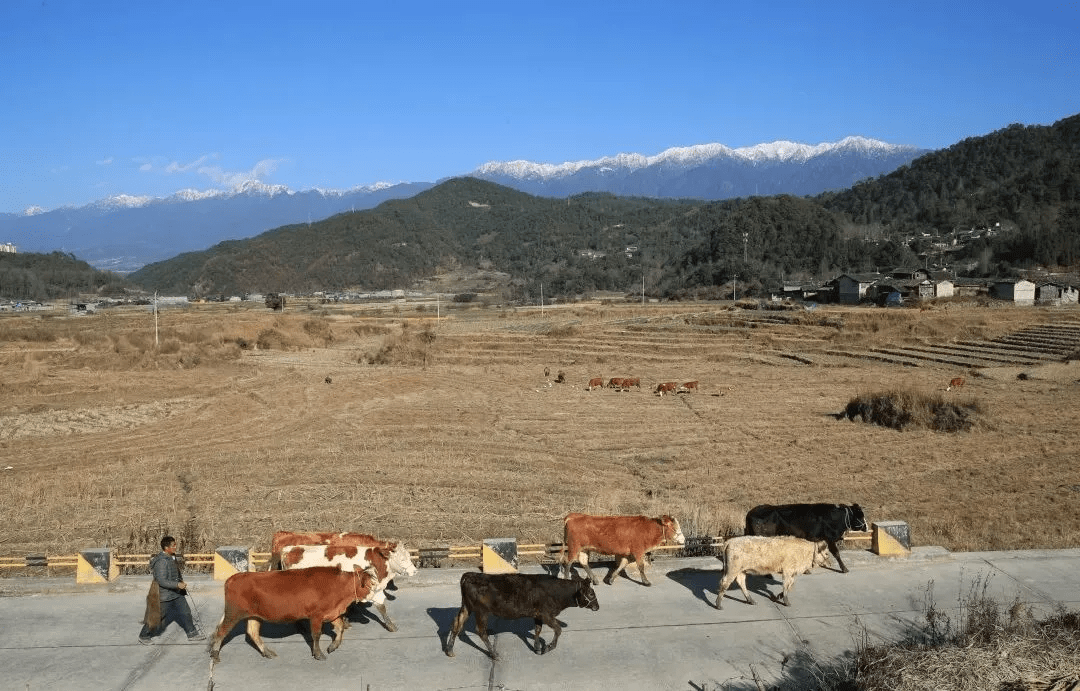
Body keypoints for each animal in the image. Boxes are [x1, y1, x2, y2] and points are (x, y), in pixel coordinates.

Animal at [209, 565, 375, 665]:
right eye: (370, 584)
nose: (375, 596)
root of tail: (233, 578)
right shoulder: (316, 615)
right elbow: (316, 635)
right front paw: (318, 653)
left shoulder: (332, 612)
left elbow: (340, 628)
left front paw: (333, 646)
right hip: (233, 613)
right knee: (221, 632)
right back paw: (215, 654)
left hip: (254, 615)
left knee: (252, 632)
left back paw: (267, 652)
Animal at [444, 570, 600, 660]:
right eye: (591, 593)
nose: (597, 607)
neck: (557, 592)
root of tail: (470, 575)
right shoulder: (547, 614)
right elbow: (558, 629)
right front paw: (547, 647)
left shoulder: (538, 614)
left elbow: (538, 629)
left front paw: (537, 647)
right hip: (481, 611)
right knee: (481, 631)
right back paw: (494, 654)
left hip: (467, 607)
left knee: (457, 623)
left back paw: (449, 650)